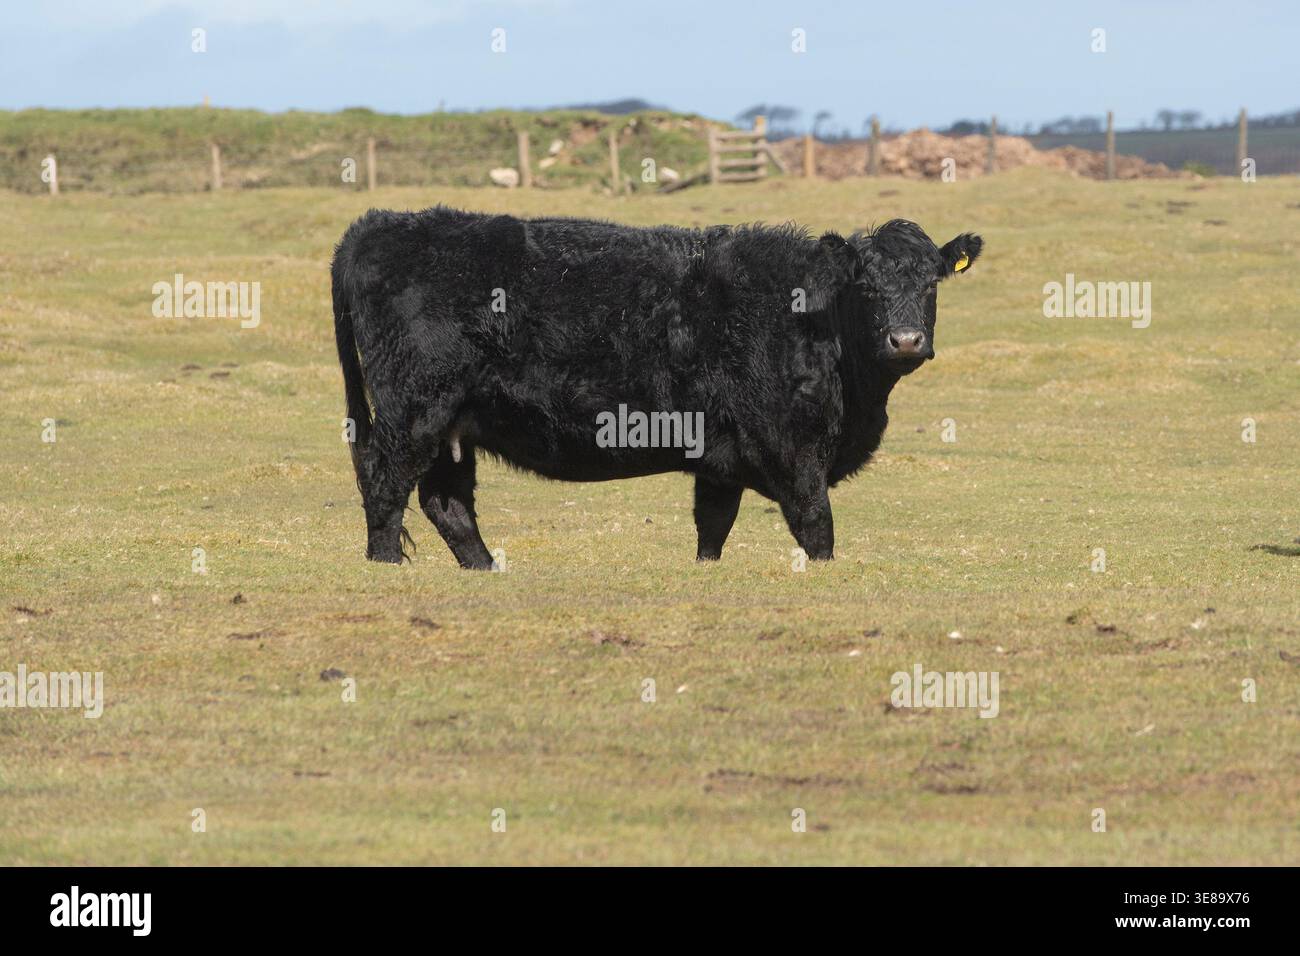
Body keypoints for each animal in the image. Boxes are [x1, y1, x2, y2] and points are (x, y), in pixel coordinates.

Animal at [331, 207, 982, 569]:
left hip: (452, 424)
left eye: (931, 283)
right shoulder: (791, 447)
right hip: (413, 412)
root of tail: (379, 225)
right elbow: (816, 526)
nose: (905, 340)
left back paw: (487, 570)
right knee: (386, 487)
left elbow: (712, 528)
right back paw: (387, 565)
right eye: (866, 287)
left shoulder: (720, 460)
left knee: (448, 504)